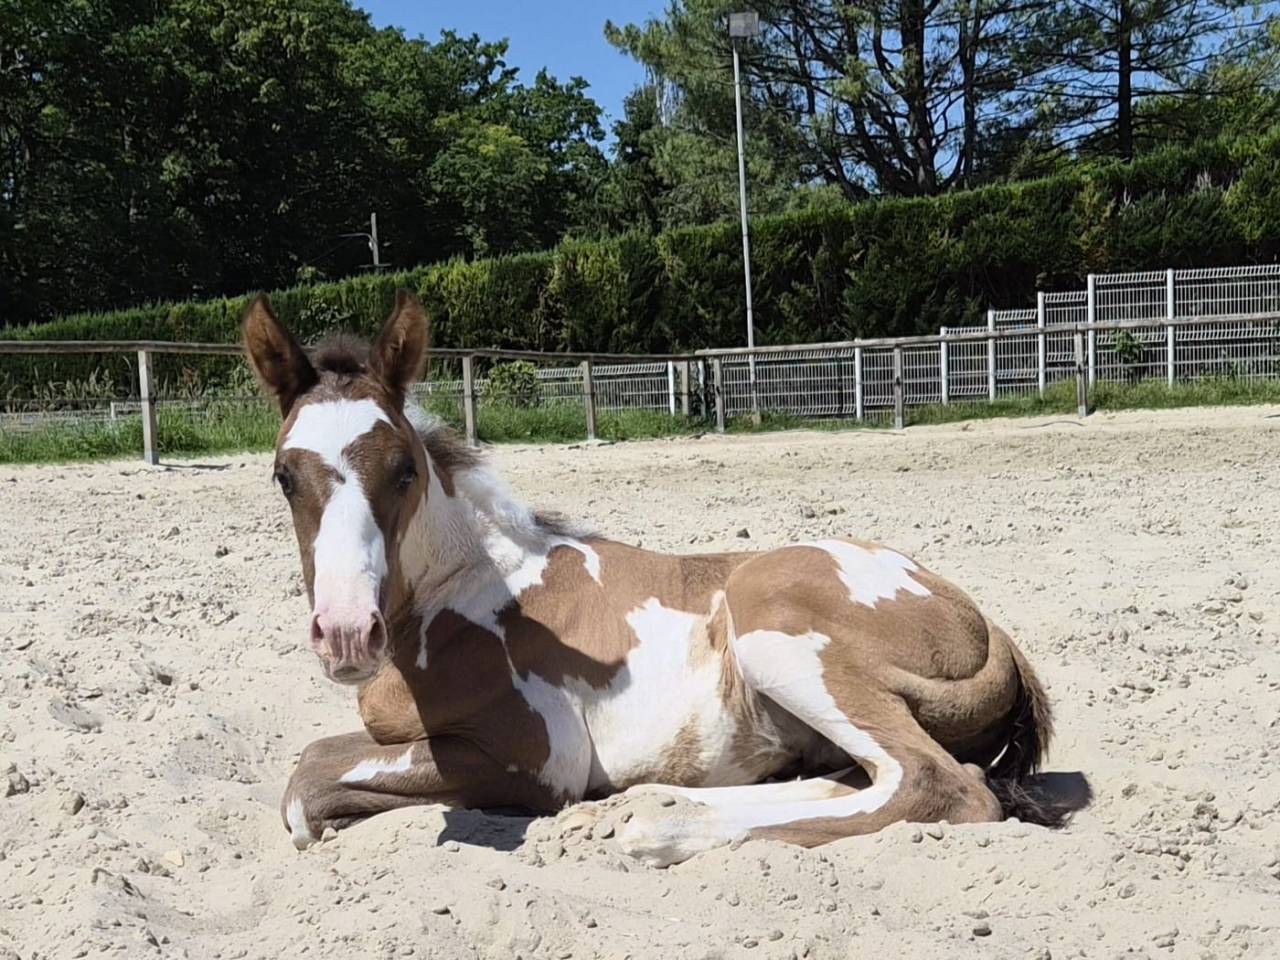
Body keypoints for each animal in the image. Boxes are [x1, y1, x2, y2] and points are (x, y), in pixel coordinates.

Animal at [242, 288, 1071, 867]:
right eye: (283, 475)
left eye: (405, 471)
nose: (347, 635)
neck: (463, 594)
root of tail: (982, 623)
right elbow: (313, 763)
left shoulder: (537, 758)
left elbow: (305, 787)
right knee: (863, 776)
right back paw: (667, 803)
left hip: (772, 623)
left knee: (933, 781)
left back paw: (657, 830)